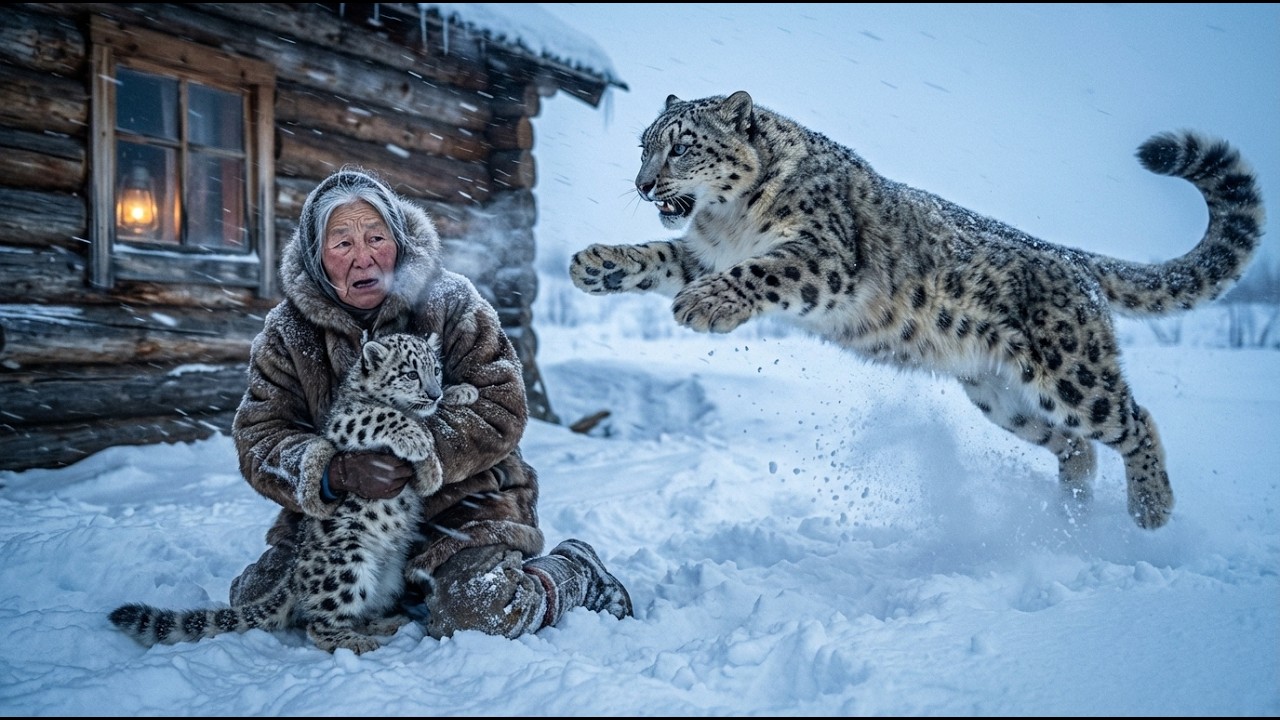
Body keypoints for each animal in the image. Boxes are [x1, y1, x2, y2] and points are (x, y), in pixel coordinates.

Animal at [110, 332, 479, 654]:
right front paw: (416, 439)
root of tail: (294, 577)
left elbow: (426, 430)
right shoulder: (345, 421)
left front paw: (461, 397)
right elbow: (382, 414)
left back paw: (383, 622)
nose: (434, 394)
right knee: (320, 623)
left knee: (357, 610)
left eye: (435, 370)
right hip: (347, 566)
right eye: (410, 373)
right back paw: (354, 642)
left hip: (389, 579)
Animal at [569, 91, 1264, 530]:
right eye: (643, 146)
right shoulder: (702, 251)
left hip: (1073, 375)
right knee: (1074, 447)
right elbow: (659, 254)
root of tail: (1071, 259)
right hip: (1002, 399)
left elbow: (760, 272)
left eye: (682, 147)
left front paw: (703, 303)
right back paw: (1070, 515)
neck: (727, 222)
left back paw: (1150, 510)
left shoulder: (820, 255)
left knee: (1135, 420)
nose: (643, 185)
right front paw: (595, 264)